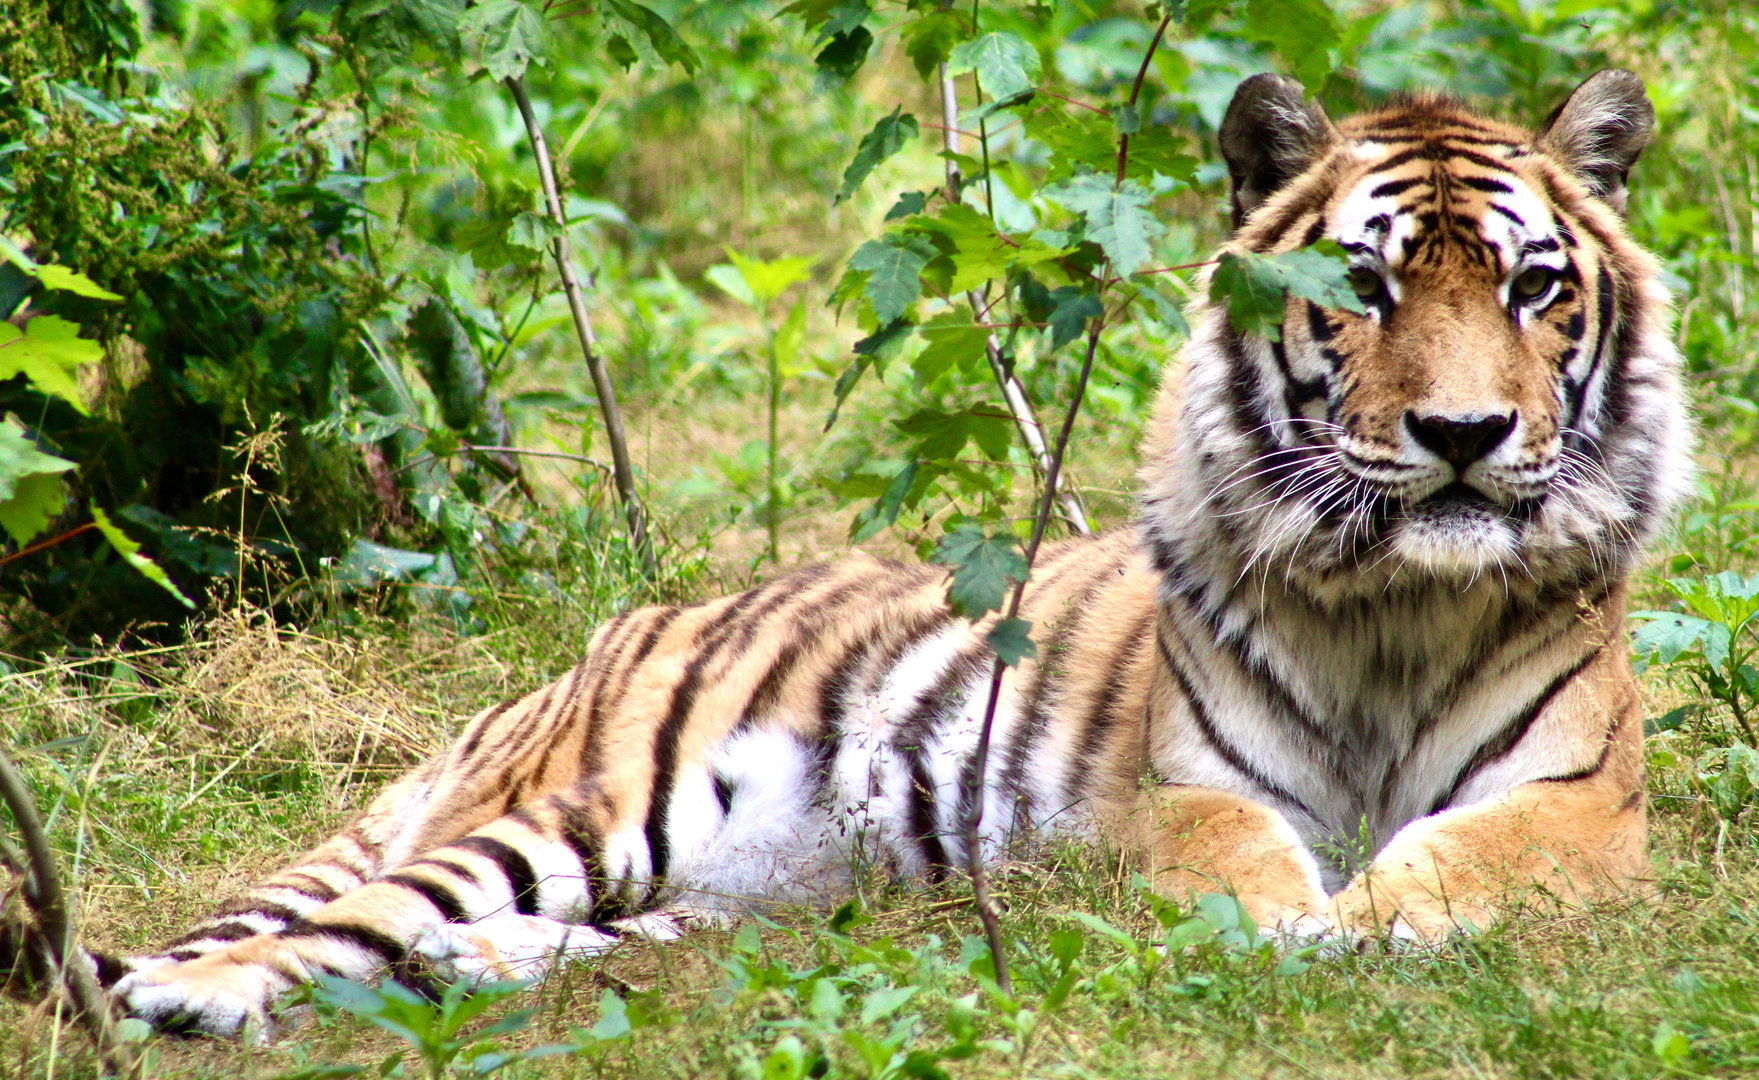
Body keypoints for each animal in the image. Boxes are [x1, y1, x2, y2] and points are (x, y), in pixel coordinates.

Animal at [6, 68, 1689, 1040]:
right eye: (1363, 286)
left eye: (1534, 288)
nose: (1463, 434)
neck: (1398, 599)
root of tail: (578, 657)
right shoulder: (1184, 791)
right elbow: (1240, 862)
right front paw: (1298, 931)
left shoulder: (1574, 807)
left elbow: (1459, 862)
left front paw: (1370, 922)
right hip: (588, 802)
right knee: (350, 919)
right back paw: (188, 994)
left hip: (767, 887)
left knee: (525, 939)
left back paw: (481, 971)